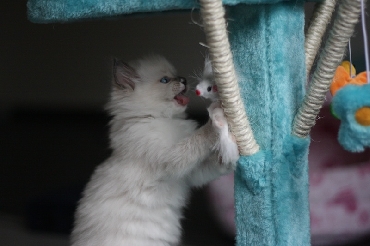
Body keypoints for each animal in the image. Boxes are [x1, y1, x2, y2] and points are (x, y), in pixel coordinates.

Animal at [71, 54, 233, 245]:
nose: (183, 80)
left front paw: (234, 158)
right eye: (165, 80)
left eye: (176, 75)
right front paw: (217, 116)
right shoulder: (173, 159)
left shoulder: (189, 174)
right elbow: (200, 137)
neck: (161, 119)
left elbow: (214, 163)